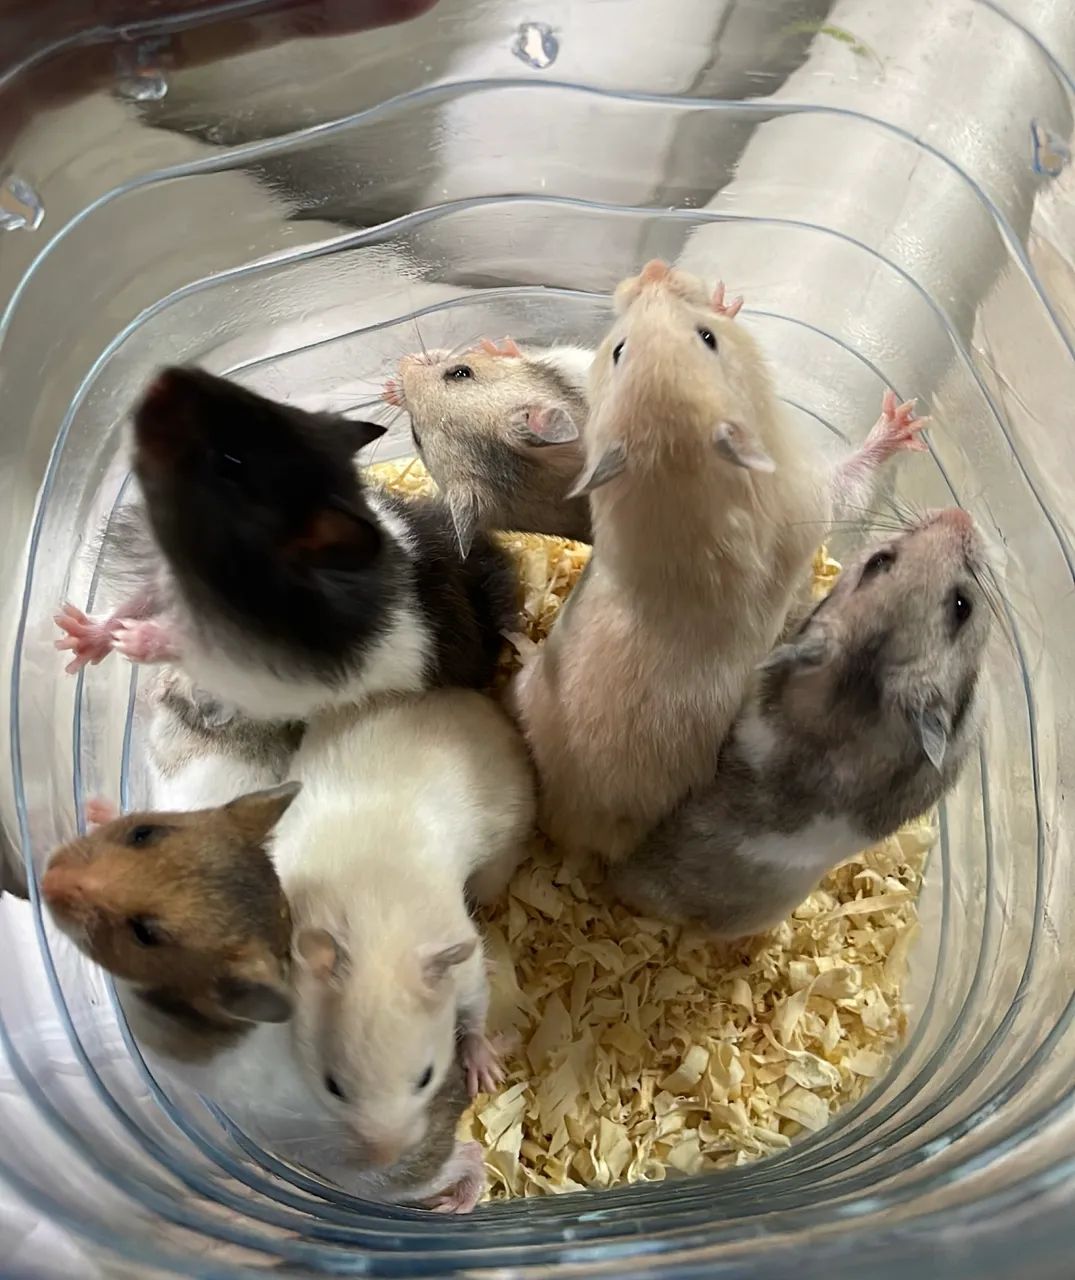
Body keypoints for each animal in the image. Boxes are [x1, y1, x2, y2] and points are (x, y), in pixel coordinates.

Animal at [55, 367, 516, 721]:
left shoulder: (251, 670)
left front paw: (130, 642)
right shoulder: (167, 579)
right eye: (262, 399)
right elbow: (130, 604)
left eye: (230, 463)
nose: (161, 376)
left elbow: (181, 642)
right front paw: (74, 635)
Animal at [271, 690, 534, 1177]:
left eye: (426, 1078)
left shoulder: (463, 962)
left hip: (502, 854)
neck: (378, 934)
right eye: (333, 1087)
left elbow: (475, 1011)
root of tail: (473, 699)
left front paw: (485, 1074)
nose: (385, 1158)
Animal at [511, 261, 927, 863]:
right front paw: (905, 421)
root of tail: (568, 832)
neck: (675, 474)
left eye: (616, 349)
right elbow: (852, 478)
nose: (653, 269)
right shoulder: (812, 501)